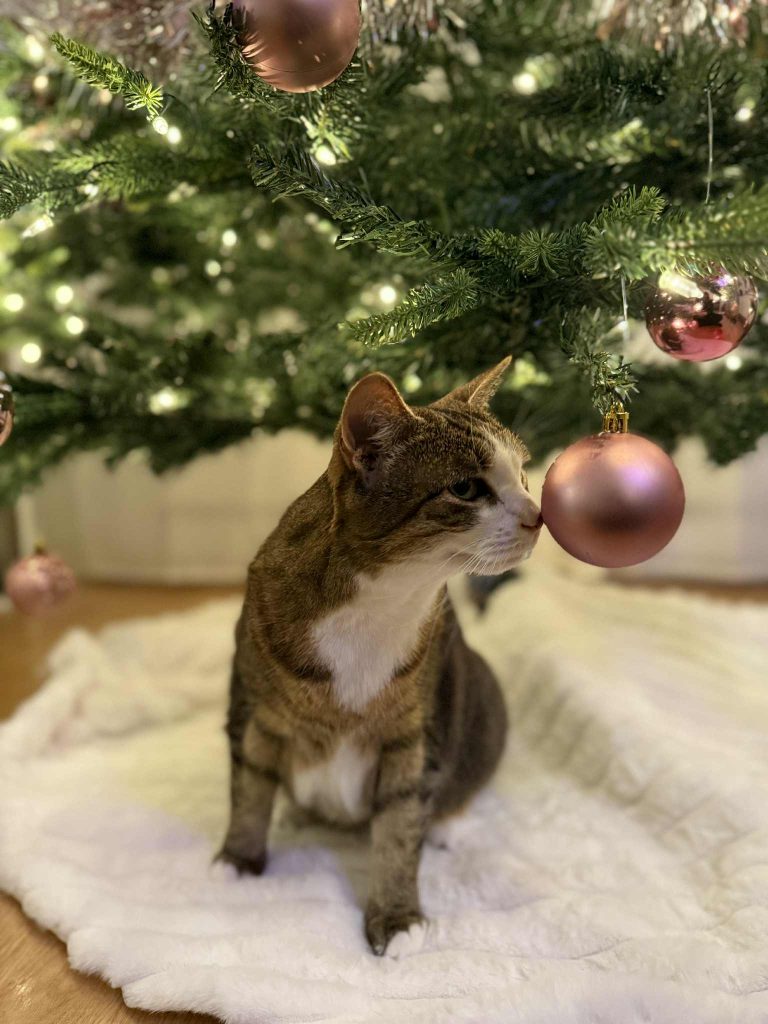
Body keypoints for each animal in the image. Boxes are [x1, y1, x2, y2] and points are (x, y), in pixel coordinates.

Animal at [217, 357, 542, 956]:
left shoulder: (413, 732)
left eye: (524, 474)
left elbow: (399, 824)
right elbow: (249, 784)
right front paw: (239, 859)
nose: (540, 513)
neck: (376, 604)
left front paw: (396, 917)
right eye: (465, 487)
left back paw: (447, 823)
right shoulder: (252, 704)